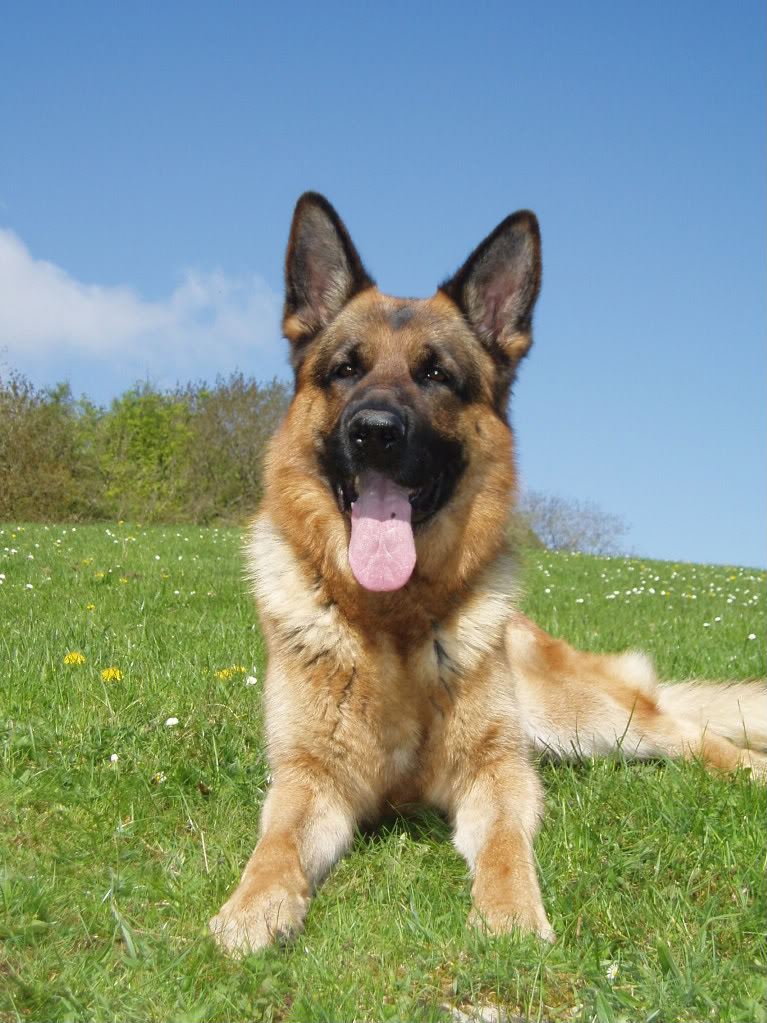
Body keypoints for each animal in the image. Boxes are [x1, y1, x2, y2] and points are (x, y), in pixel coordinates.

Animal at [210, 195, 767, 953]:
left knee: (690, 734)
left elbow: (504, 842)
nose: (374, 431)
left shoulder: (496, 772)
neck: (393, 625)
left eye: (435, 375)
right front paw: (253, 905)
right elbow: (276, 844)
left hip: (590, 718)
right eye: (345, 370)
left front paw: (507, 912)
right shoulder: (309, 780)